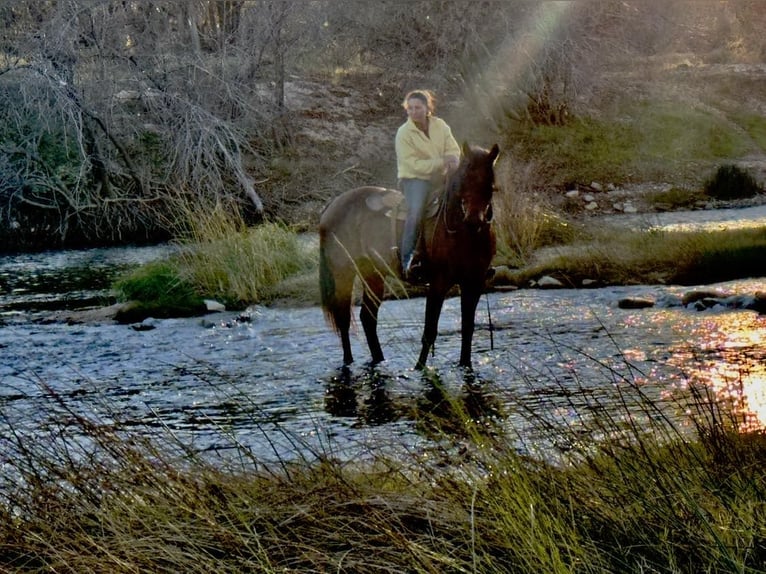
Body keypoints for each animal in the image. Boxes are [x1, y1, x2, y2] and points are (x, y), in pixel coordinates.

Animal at [320, 142, 504, 372]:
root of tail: (331, 207)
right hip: (343, 273)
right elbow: (429, 331)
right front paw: (419, 368)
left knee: (368, 319)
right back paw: (349, 362)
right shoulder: (438, 283)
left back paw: (379, 360)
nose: (473, 220)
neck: (464, 235)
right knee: (344, 319)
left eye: (490, 184)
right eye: (464, 179)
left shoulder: (474, 283)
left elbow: (468, 329)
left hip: (372, 275)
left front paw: (465, 365)